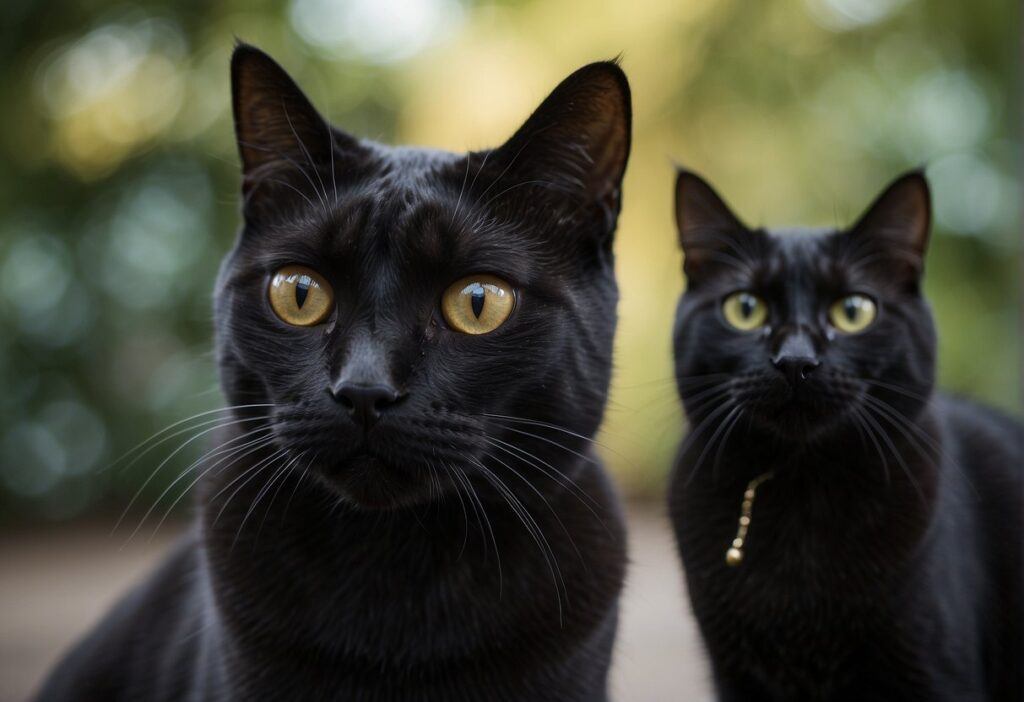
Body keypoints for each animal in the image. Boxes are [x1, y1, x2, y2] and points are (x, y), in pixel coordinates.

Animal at [667, 171, 1019, 702]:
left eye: (853, 311)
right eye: (745, 309)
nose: (796, 360)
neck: (801, 494)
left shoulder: (935, 669)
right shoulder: (735, 676)